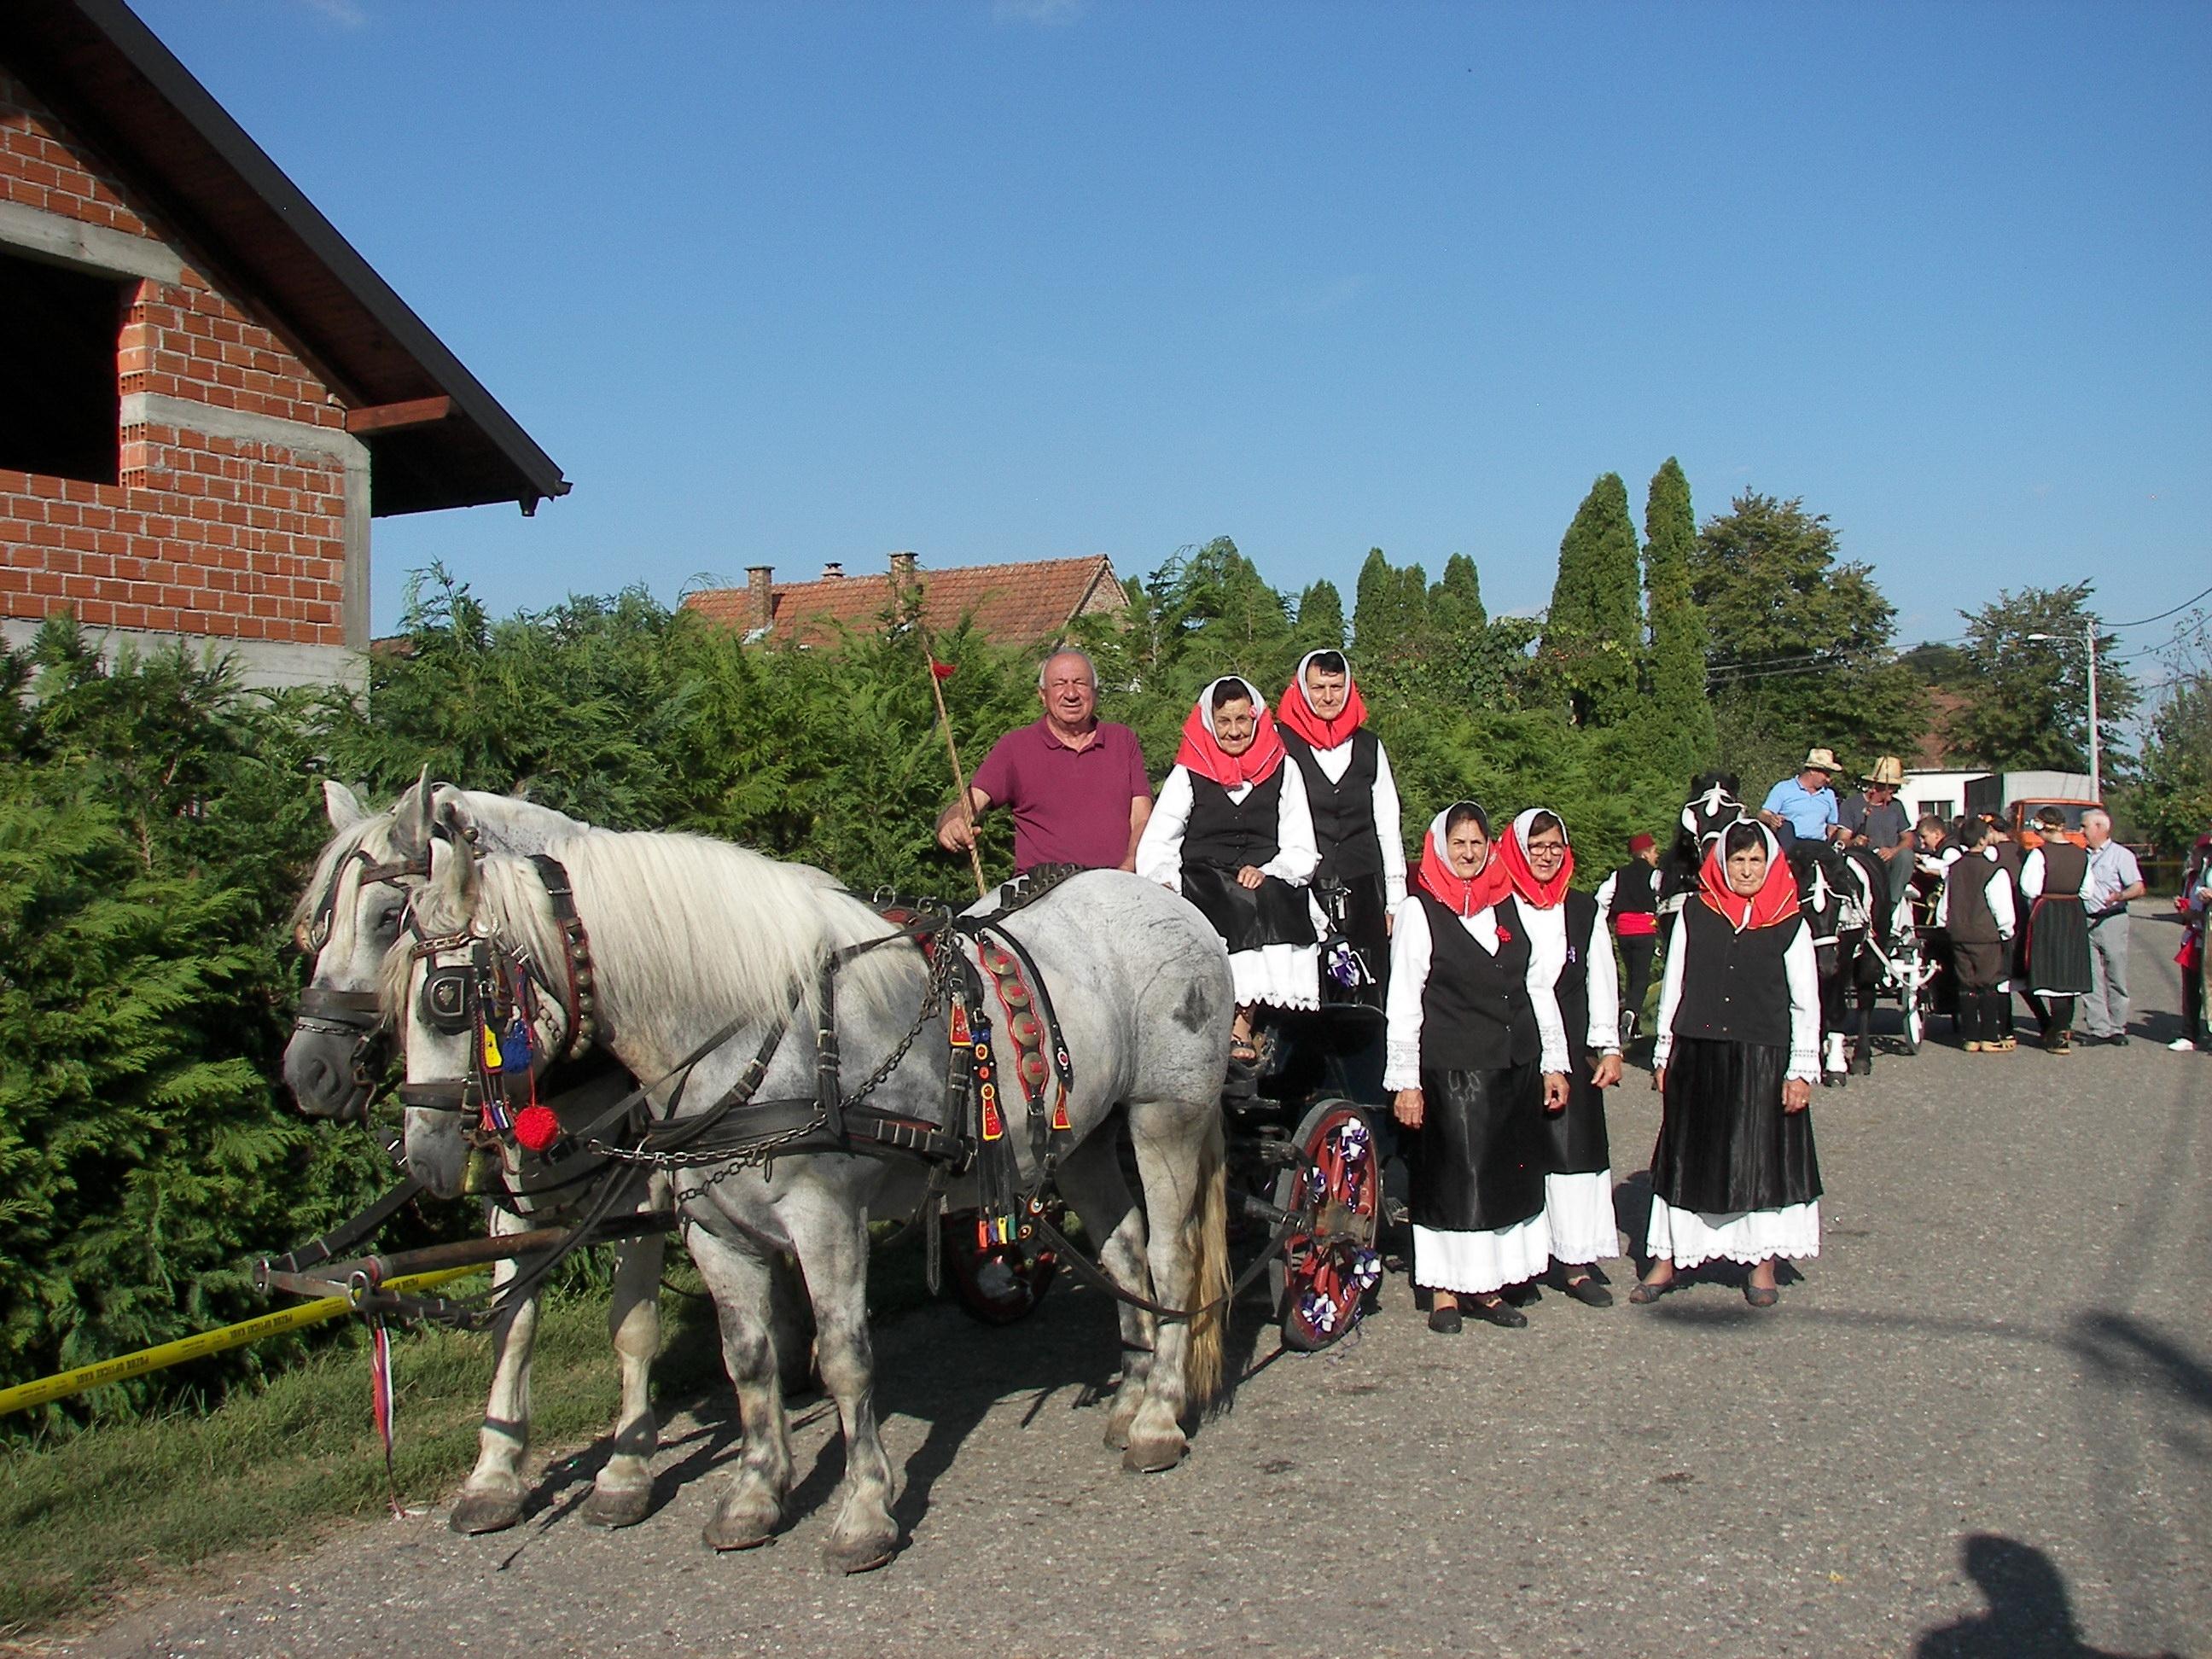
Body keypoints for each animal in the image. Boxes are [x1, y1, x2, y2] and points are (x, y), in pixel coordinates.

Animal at [287, 787, 681, 1540]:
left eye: (389, 919)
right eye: (318, 930)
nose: (307, 1072)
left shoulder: (643, 1195)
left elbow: (633, 1328)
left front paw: (625, 1471)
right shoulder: (510, 1203)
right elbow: (513, 1325)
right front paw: (495, 1474)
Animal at [389, 813, 1238, 1575]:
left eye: (446, 996)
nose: (421, 1157)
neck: (753, 1029)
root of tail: (1167, 901)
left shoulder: (826, 1219)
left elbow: (844, 1359)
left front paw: (863, 1512)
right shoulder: (713, 1230)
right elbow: (747, 1358)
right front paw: (753, 1495)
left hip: (1166, 1116)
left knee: (1172, 1260)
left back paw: (1159, 1416)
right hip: (1082, 1138)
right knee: (1125, 1252)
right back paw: (1129, 1398)